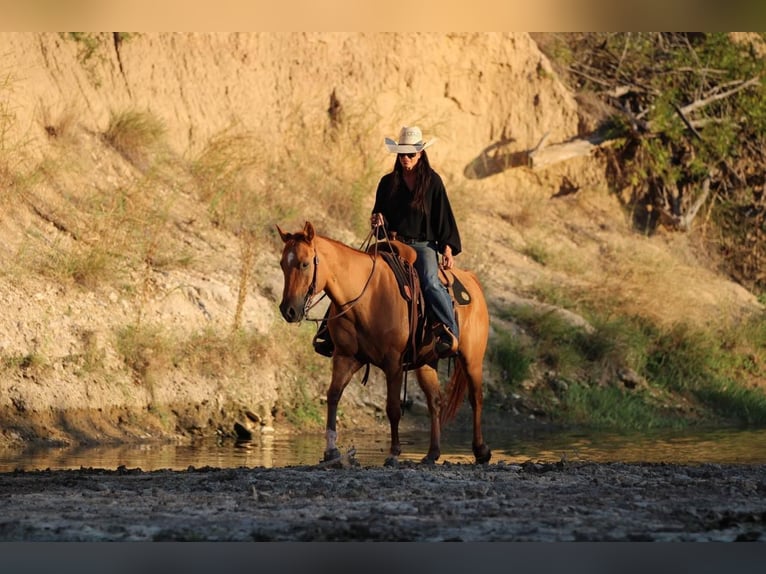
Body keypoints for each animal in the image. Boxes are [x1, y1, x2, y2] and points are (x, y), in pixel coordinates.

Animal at [276, 220, 492, 468]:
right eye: (282, 264)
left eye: (304, 264)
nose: (288, 310)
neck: (367, 297)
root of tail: (471, 280)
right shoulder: (346, 358)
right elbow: (333, 396)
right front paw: (331, 451)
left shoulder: (393, 363)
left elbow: (393, 408)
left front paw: (394, 453)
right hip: (426, 363)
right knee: (435, 402)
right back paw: (432, 453)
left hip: (471, 358)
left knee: (476, 398)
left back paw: (481, 451)